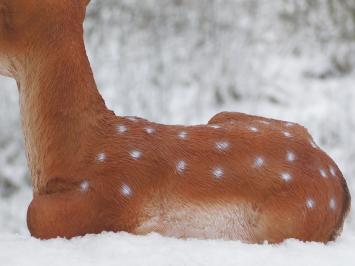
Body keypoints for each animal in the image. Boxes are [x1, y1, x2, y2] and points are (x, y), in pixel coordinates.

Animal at [0, 0, 350, 243]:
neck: (77, 153)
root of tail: (342, 189)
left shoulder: (104, 202)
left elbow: (34, 214)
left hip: (286, 222)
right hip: (226, 115)